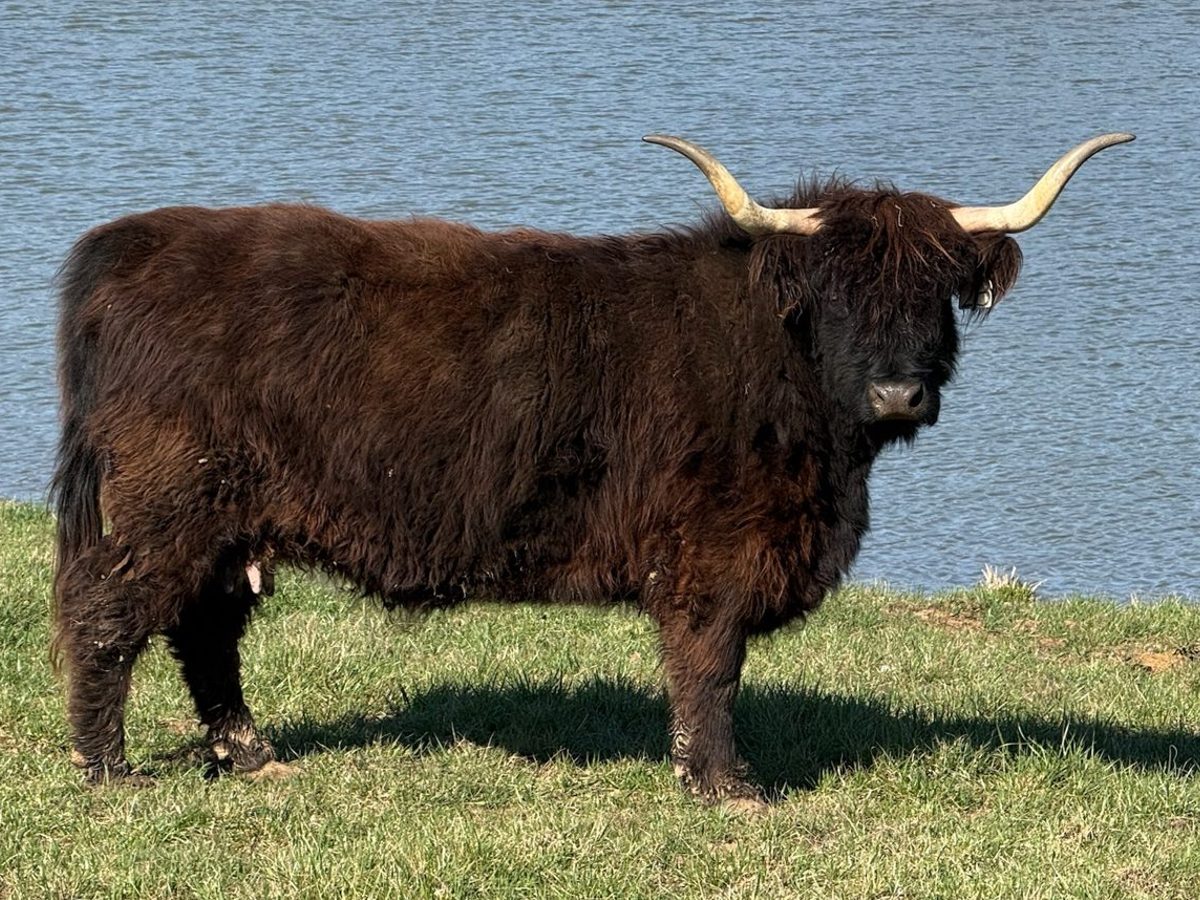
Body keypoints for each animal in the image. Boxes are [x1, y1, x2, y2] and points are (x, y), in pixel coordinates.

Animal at [51, 132, 1132, 807]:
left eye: (934, 293)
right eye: (836, 293)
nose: (900, 394)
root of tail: (131, 242)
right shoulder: (711, 551)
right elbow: (709, 664)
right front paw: (725, 786)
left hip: (227, 522)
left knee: (205, 630)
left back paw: (253, 755)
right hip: (166, 505)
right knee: (111, 617)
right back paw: (109, 772)